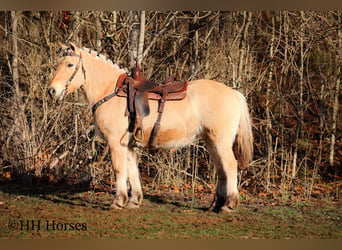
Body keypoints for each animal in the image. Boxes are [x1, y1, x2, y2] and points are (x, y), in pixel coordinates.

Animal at [47, 42, 254, 213]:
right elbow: (132, 170)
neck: (110, 92)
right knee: (221, 169)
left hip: (221, 142)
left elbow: (119, 169)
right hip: (211, 141)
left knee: (230, 166)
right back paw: (215, 205)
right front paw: (134, 201)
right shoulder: (127, 145)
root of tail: (234, 93)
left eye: (70, 65)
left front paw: (118, 201)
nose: (51, 91)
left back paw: (228, 205)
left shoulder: (115, 144)